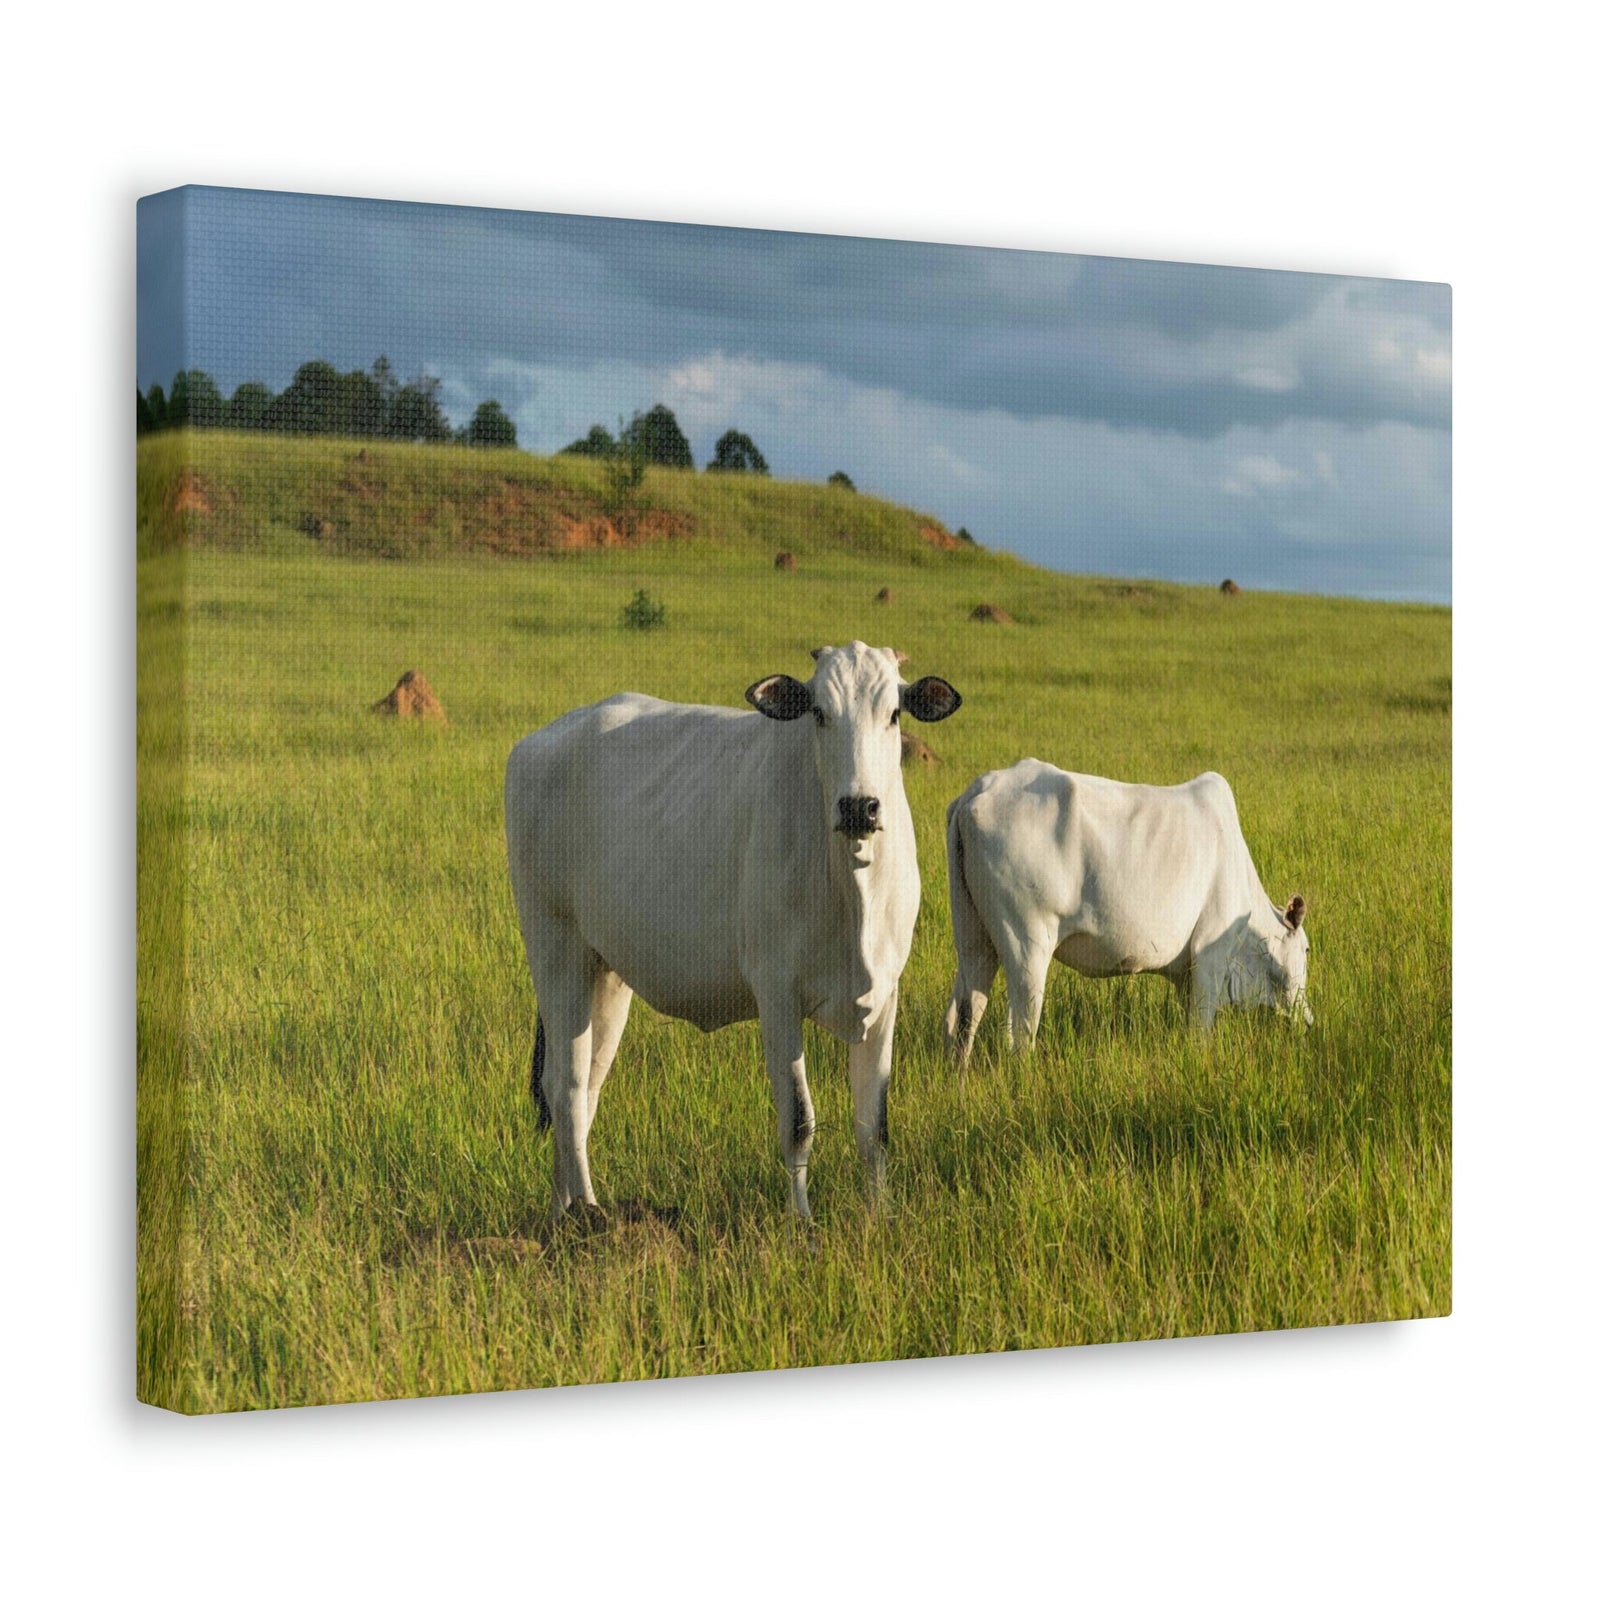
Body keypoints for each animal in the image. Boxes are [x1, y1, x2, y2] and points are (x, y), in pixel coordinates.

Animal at [505, 642, 962, 1220]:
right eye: (819, 712)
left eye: (895, 714)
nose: (859, 806)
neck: (852, 883)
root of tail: (541, 741)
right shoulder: (778, 996)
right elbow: (799, 1121)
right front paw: (801, 1223)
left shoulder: (884, 996)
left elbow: (872, 1128)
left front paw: (878, 1218)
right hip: (553, 946)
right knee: (563, 1085)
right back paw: (588, 1212)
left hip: (604, 972)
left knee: (585, 1088)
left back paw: (562, 1212)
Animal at [944, 760, 1310, 1061]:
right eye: (1306, 948)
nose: (1308, 1021)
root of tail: (978, 791)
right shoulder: (1210, 955)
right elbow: (1200, 1028)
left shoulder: (1187, 974)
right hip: (1026, 942)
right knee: (1020, 1032)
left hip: (974, 937)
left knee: (962, 1015)